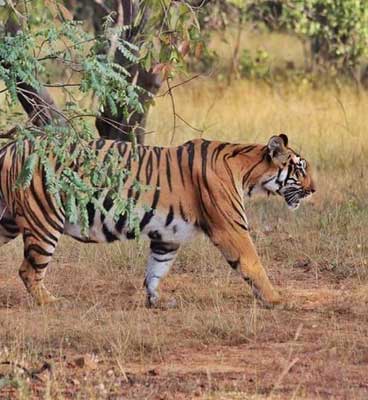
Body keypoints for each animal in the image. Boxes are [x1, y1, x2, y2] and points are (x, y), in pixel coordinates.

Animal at [0, 134, 316, 306]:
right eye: (300, 169)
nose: (314, 189)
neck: (248, 171)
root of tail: (10, 147)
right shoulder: (231, 229)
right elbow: (253, 263)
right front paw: (276, 299)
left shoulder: (168, 235)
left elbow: (156, 269)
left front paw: (156, 300)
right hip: (44, 220)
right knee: (28, 270)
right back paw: (50, 301)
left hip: (7, 221)